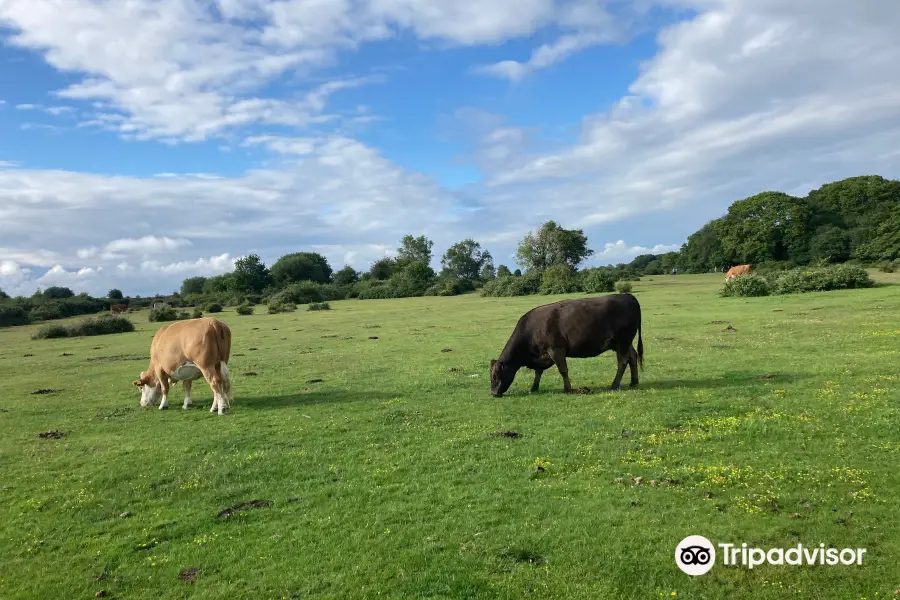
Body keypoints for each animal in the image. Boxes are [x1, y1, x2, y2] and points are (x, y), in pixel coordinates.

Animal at [488, 292, 644, 396]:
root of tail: (628, 295)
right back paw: (634, 381)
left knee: (622, 361)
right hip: (623, 342)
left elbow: (563, 370)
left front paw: (567, 389)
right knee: (633, 356)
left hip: (622, 340)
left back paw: (615, 385)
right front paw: (533, 388)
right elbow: (538, 371)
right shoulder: (543, 354)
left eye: (495, 376)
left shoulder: (556, 349)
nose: (493, 393)